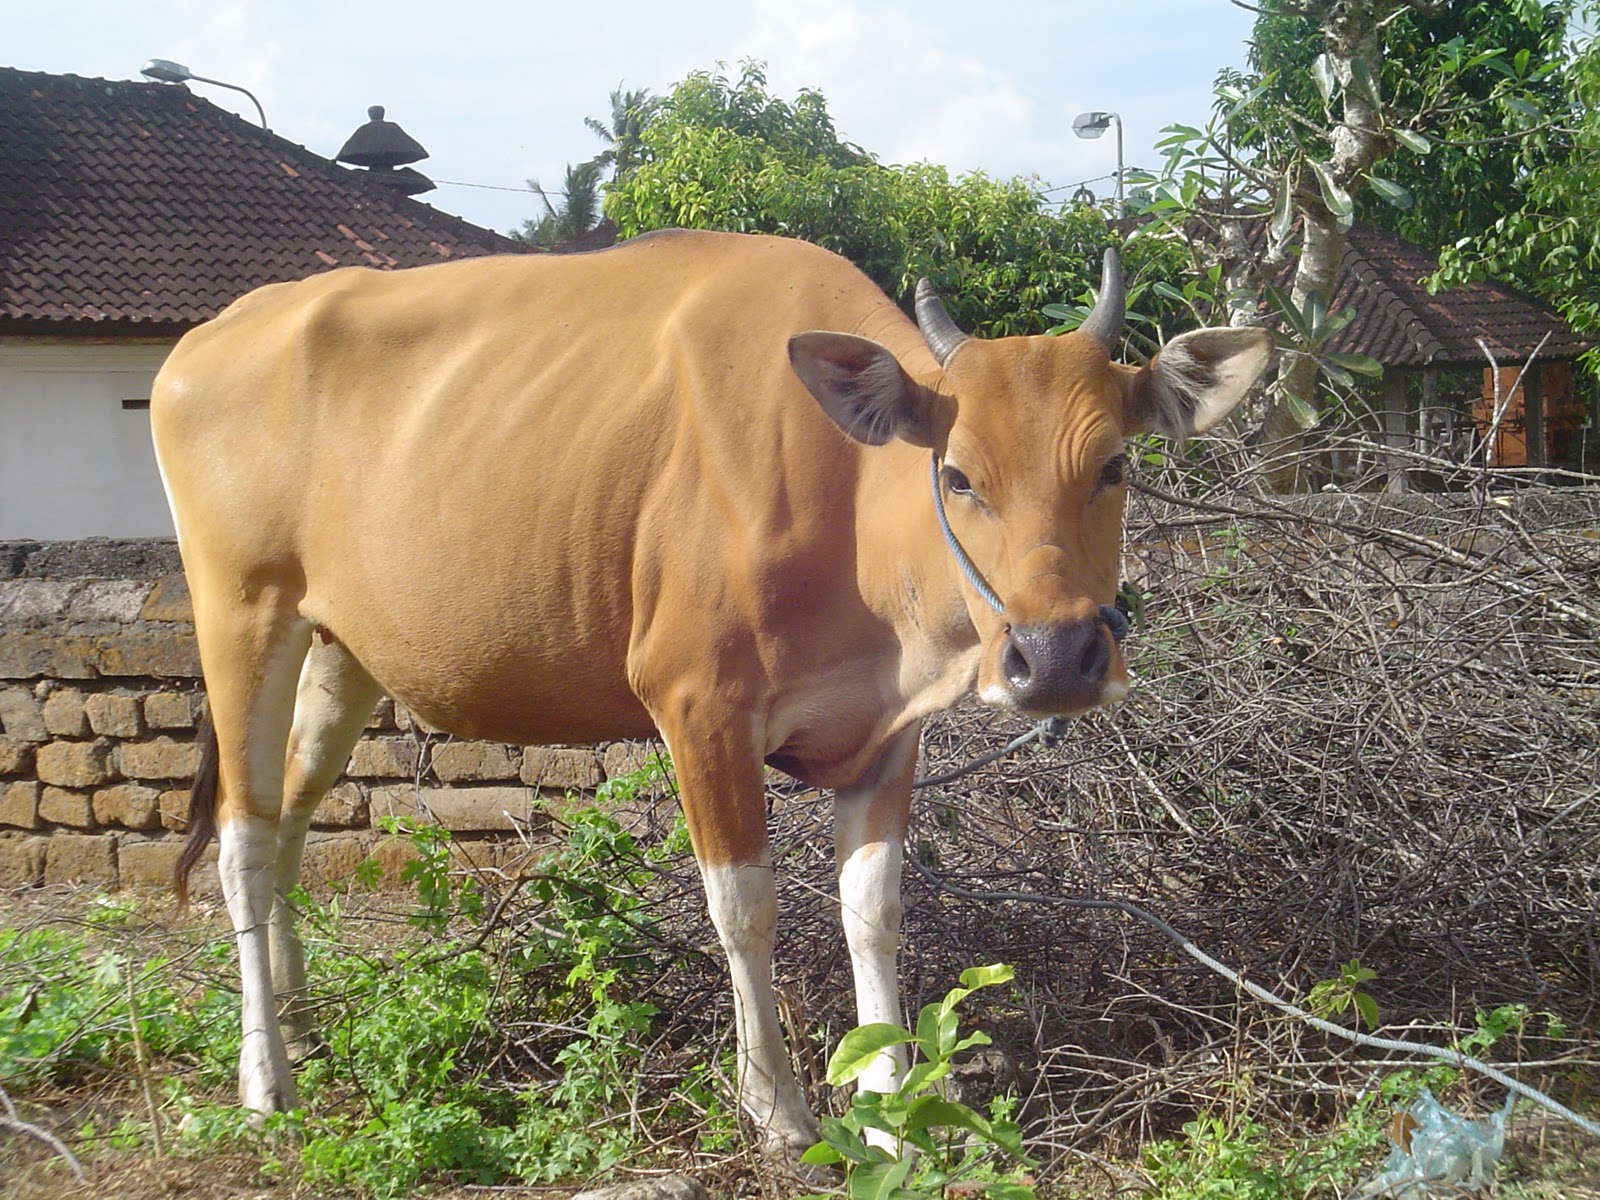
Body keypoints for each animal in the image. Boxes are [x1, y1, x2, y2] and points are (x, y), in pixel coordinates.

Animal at [152, 230, 1273, 1158]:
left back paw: (301, 1022)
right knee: (242, 843)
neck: (842, 504)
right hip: (242, 614)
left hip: (344, 649)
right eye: (957, 475)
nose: (1054, 656)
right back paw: (266, 1078)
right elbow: (744, 909)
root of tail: (211, 336)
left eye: (1113, 464)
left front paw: (889, 1105)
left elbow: (873, 910)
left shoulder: (887, 731)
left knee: (287, 823)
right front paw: (774, 1104)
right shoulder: (697, 707)